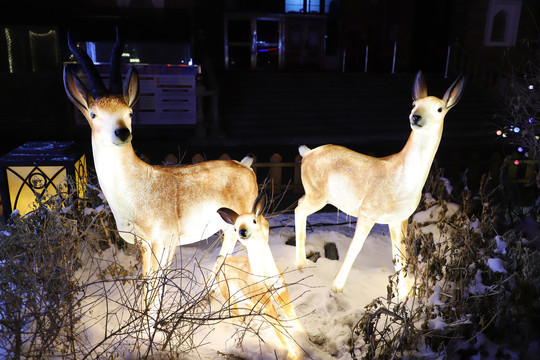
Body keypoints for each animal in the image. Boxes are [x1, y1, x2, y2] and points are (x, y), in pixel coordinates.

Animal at [62, 31, 258, 306]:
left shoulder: (164, 242)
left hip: (238, 227)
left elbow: (155, 295)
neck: (138, 187)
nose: (122, 133)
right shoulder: (144, 245)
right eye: (93, 114)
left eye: (129, 112)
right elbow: (148, 290)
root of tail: (245, 166)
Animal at [217, 194, 306, 360]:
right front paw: (293, 354)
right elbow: (279, 330)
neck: (266, 275)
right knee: (235, 316)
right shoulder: (265, 301)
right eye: (235, 227)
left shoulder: (282, 291)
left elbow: (293, 317)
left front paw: (306, 340)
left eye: (254, 220)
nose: (242, 231)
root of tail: (222, 261)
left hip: (245, 298)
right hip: (228, 294)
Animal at [296, 71, 464, 296]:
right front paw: (336, 287)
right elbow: (355, 247)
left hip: (315, 195)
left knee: (299, 206)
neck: (403, 178)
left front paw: (406, 293)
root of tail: (307, 153)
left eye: (439, 109)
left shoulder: (399, 219)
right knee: (298, 209)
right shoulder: (368, 212)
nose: (415, 117)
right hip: (317, 196)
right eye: (414, 103)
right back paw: (300, 265)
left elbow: (400, 253)